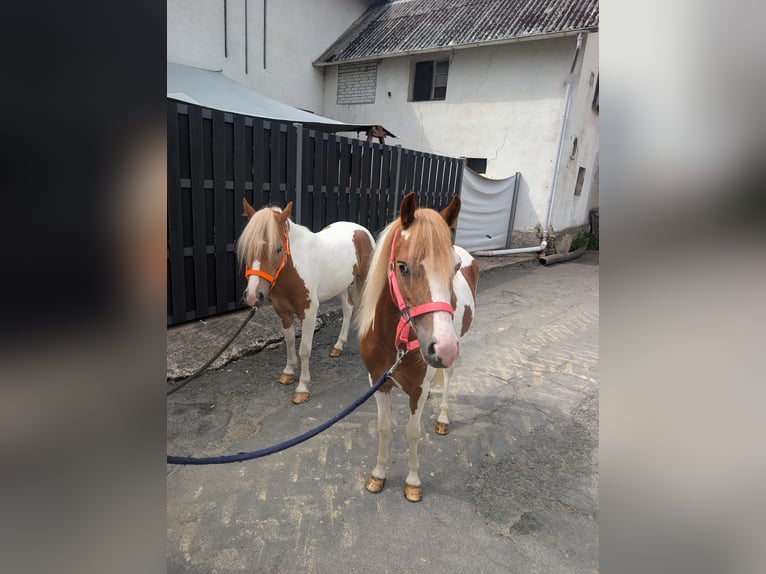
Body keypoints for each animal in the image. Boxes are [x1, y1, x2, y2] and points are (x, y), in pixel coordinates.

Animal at [237, 198, 375, 405]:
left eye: (278, 248)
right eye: (247, 248)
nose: (254, 296)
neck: (294, 269)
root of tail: (359, 229)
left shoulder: (309, 312)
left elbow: (305, 348)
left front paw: (302, 388)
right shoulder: (283, 311)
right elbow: (289, 341)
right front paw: (288, 372)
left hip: (365, 278)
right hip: (341, 284)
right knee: (348, 308)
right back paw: (338, 346)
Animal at [356, 191, 478, 502]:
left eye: (455, 268)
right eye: (402, 266)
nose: (442, 348)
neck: (393, 341)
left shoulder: (418, 389)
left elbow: (413, 432)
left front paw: (412, 481)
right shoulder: (379, 381)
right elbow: (384, 428)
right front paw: (378, 474)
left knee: (448, 379)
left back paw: (443, 417)